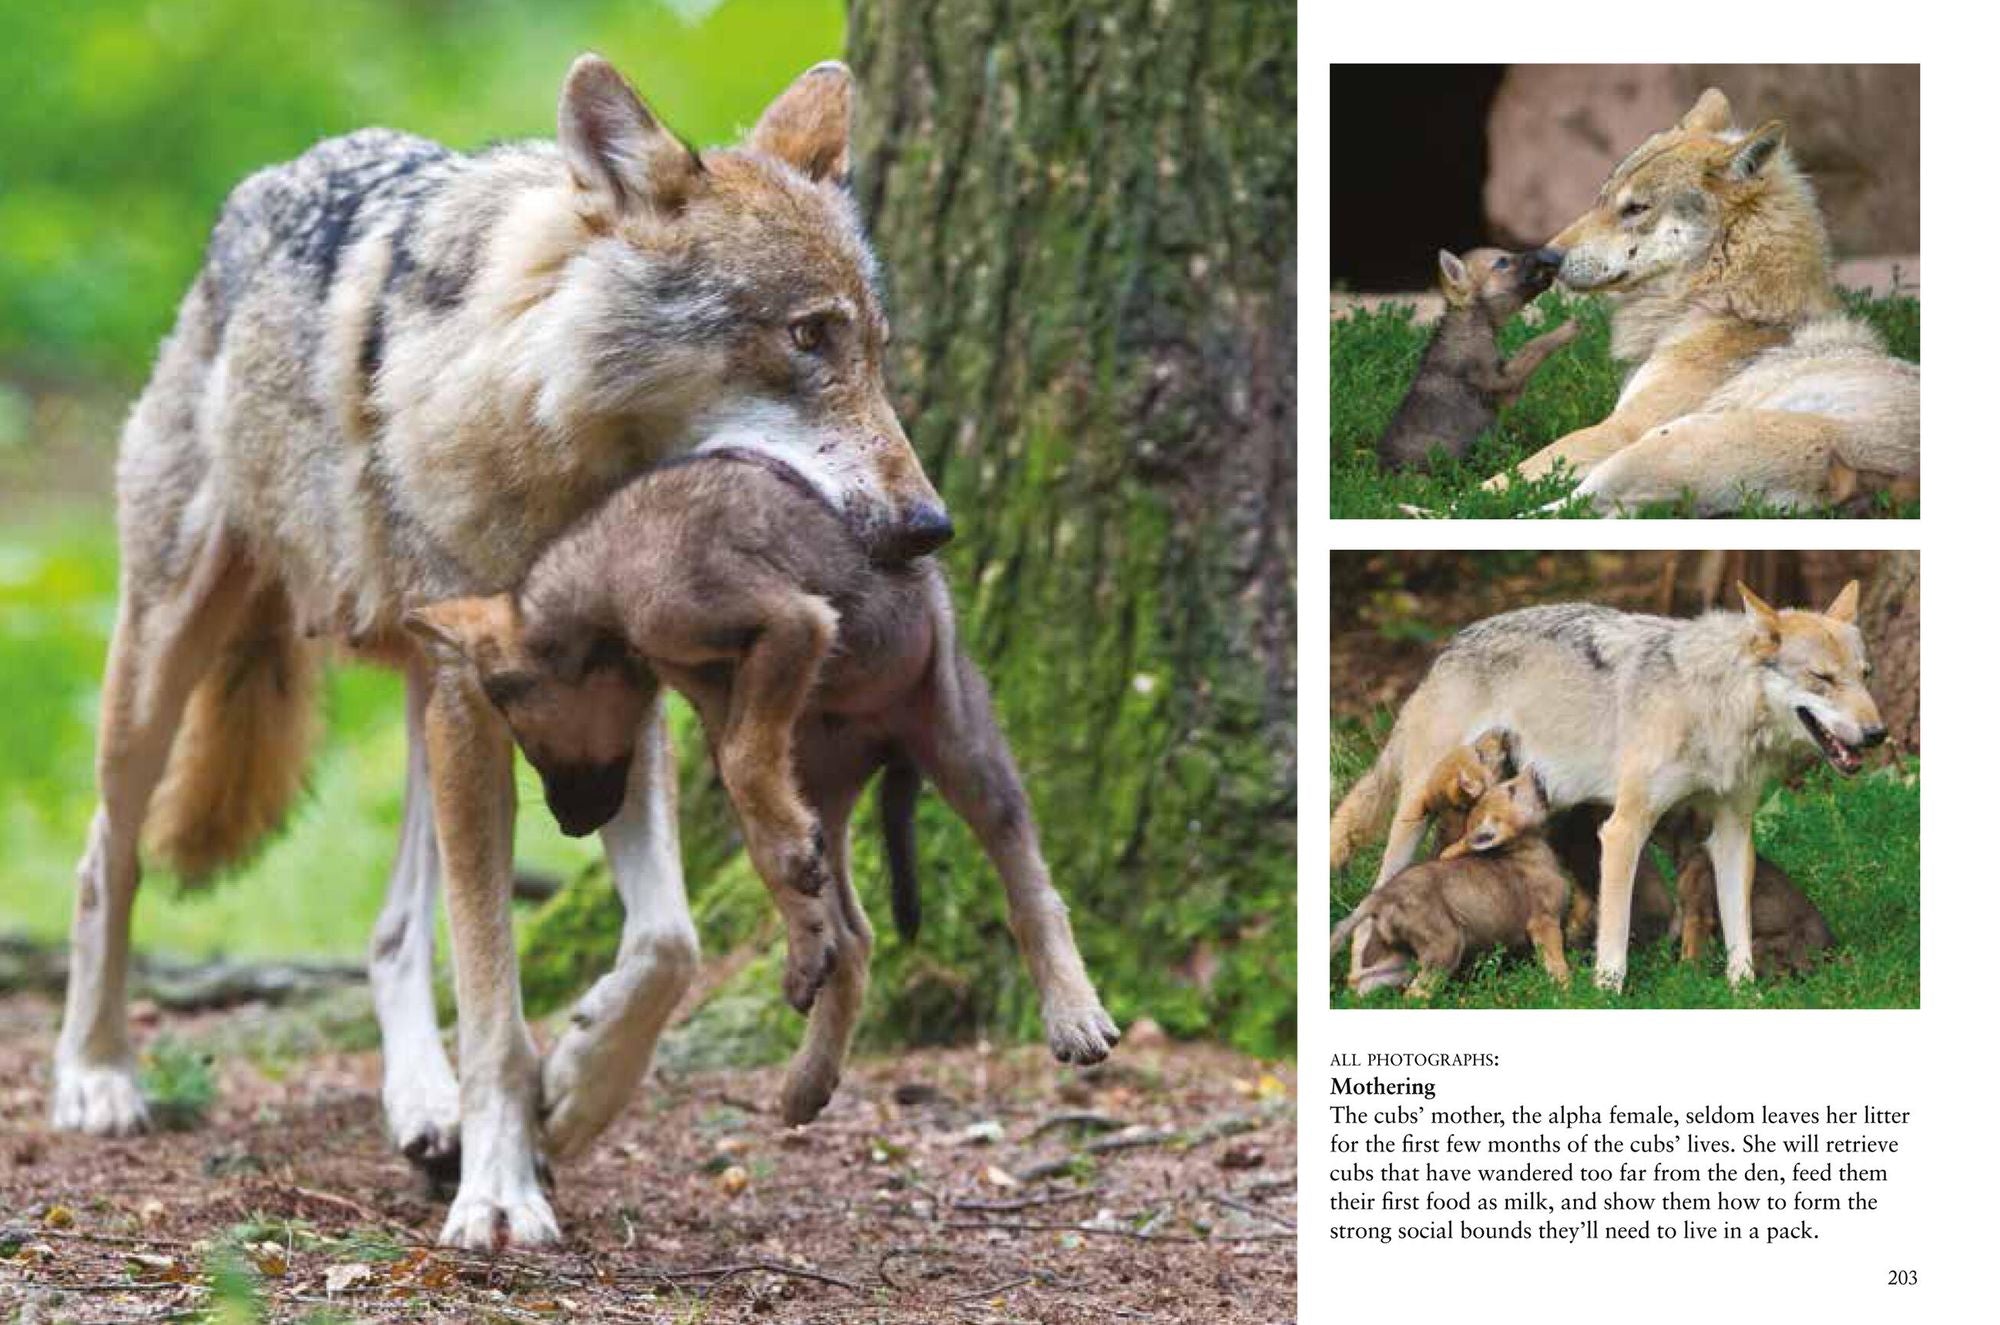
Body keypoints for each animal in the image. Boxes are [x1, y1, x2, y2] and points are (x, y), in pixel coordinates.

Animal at [53, 54, 948, 1250]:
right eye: (808, 337)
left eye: (877, 351)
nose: (929, 525)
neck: (553, 443)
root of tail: (258, 189)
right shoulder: (484, 704)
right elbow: (490, 986)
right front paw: (500, 1188)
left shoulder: (624, 705)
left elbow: (664, 944)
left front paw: (571, 1094)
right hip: (170, 662)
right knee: (106, 858)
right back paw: (97, 1074)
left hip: (422, 702)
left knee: (391, 930)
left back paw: (424, 1106)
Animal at [404, 450, 1119, 1127]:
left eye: (523, 731)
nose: (569, 827)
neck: (604, 585)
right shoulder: (736, 697)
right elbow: (757, 804)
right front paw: (801, 926)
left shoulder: (791, 623)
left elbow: (748, 766)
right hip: (823, 780)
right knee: (855, 936)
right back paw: (810, 1067)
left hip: (960, 744)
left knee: (1031, 887)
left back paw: (1074, 1013)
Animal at [1330, 583, 1884, 991]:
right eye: (1822, 679)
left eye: (1865, 676)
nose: (1878, 733)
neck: (1712, 704)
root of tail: (1450, 646)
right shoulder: (1623, 829)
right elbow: (1614, 938)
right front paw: (1606, 993)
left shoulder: (1730, 833)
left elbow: (1738, 932)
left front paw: (1742, 991)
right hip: (1412, 821)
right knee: (1373, 897)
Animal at [1376, 247, 1576, 472]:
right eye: (1502, 262)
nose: (1551, 254)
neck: (1473, 320)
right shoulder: (1503, 382)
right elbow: (1534, 346)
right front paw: (1568, 329)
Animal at [1486, 89, 1919, 514]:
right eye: (1601, 198)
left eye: (1636, 209)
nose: (1546, 258)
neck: (1720, 306)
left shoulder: (1619, 428)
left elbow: (1505, 478)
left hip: (1656, 443)